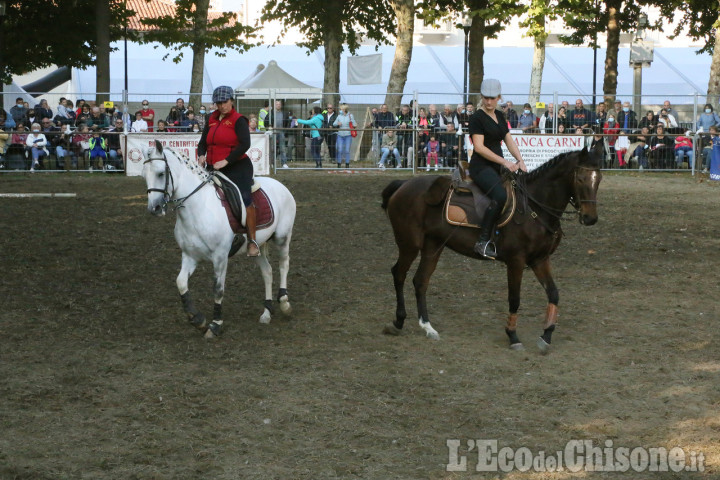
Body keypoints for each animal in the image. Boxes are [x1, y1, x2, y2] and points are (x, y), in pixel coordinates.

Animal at [141, 141, 296, 340]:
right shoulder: (190, 256)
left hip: (282, 237)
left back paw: (284, 303)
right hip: (258, 245)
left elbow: (218, 289)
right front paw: (197, 319)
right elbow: (181, 282)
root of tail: (280, 186)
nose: (155, 208)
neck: (197, 208)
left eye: (161, 173)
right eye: (144, 175)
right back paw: (267, 313)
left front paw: (215, 324)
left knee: (284, 264)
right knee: (267, 272)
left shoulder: (220, 257)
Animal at [380, 144, 604, 350]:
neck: (534, 208)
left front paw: (546, 335)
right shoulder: (516, 261)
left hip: (433, 245)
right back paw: (398, 321)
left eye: (598, 179)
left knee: (420, 281)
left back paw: (428, 327)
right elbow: (514, 299)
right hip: (409, 243)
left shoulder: (540, 260)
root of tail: (403, 185)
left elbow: (554, 294)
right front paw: (513, 336)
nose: (590, 218)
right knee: (399, 273)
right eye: (580, 179)